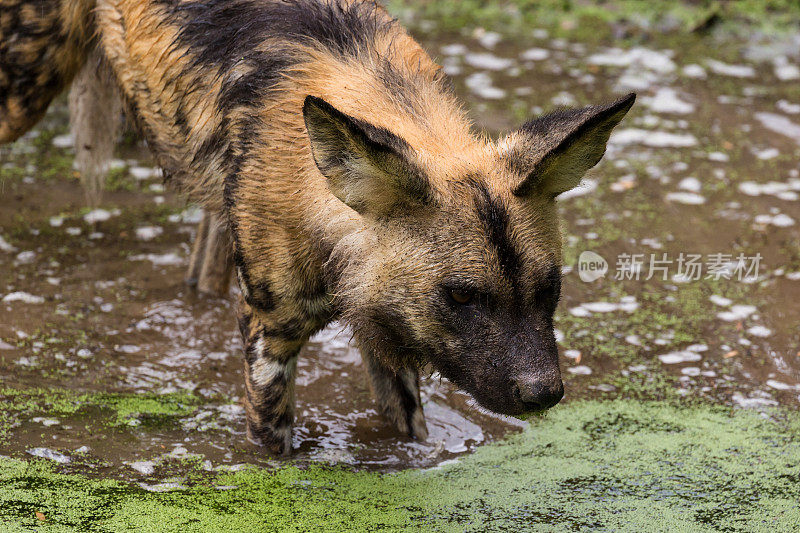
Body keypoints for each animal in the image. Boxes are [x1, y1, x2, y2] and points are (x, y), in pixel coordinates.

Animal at [1, 0, 636, 454]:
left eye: (550, 286)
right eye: (461, 295)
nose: (543, 393)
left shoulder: (386, 331)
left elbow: (409, 434)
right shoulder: (269, 339)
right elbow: (274, 443)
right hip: (22, 91)